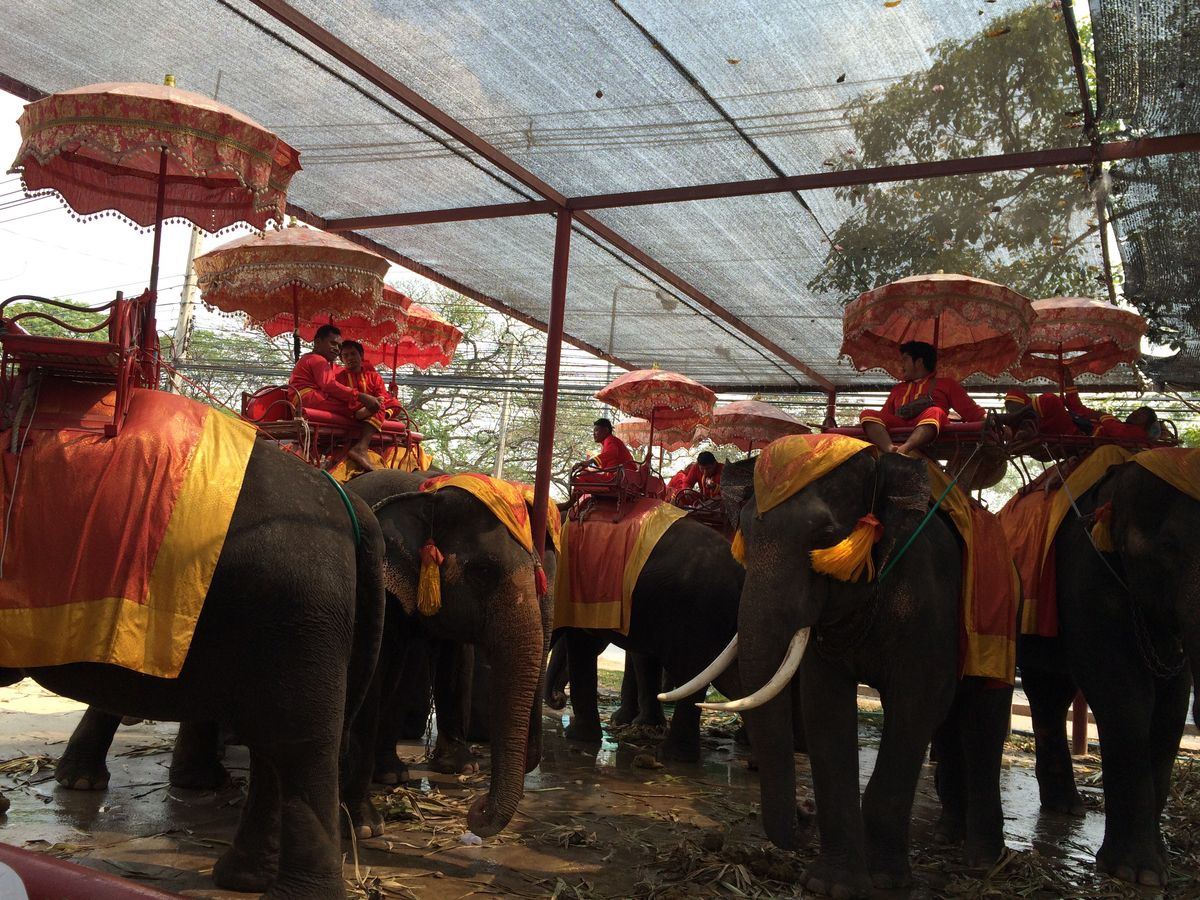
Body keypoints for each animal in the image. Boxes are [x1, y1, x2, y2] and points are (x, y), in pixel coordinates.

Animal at [554, 514, 744, 762]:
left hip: (699, 612)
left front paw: (576, 736)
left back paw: (673, 755)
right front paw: (642, 726)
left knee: (692, 672)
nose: (558, 700)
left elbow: (583, 641)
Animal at [715, 451, 1012, 898]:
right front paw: (830, 884)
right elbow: (824, 705)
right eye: (744, 533)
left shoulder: (930, 604)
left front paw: (887, 880)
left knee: (982, 723)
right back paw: (947, 835)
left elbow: (920, 701)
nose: (803, 814)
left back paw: (982, 861)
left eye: (825, 535)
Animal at [1020, 458, 1199, 886]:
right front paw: (1137, 873)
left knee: (1049, 692)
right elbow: (1124, 694)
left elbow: (1171, 704)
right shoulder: (1087, 570)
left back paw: (1067, 808)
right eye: (1168, 547)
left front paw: (1160, 861)